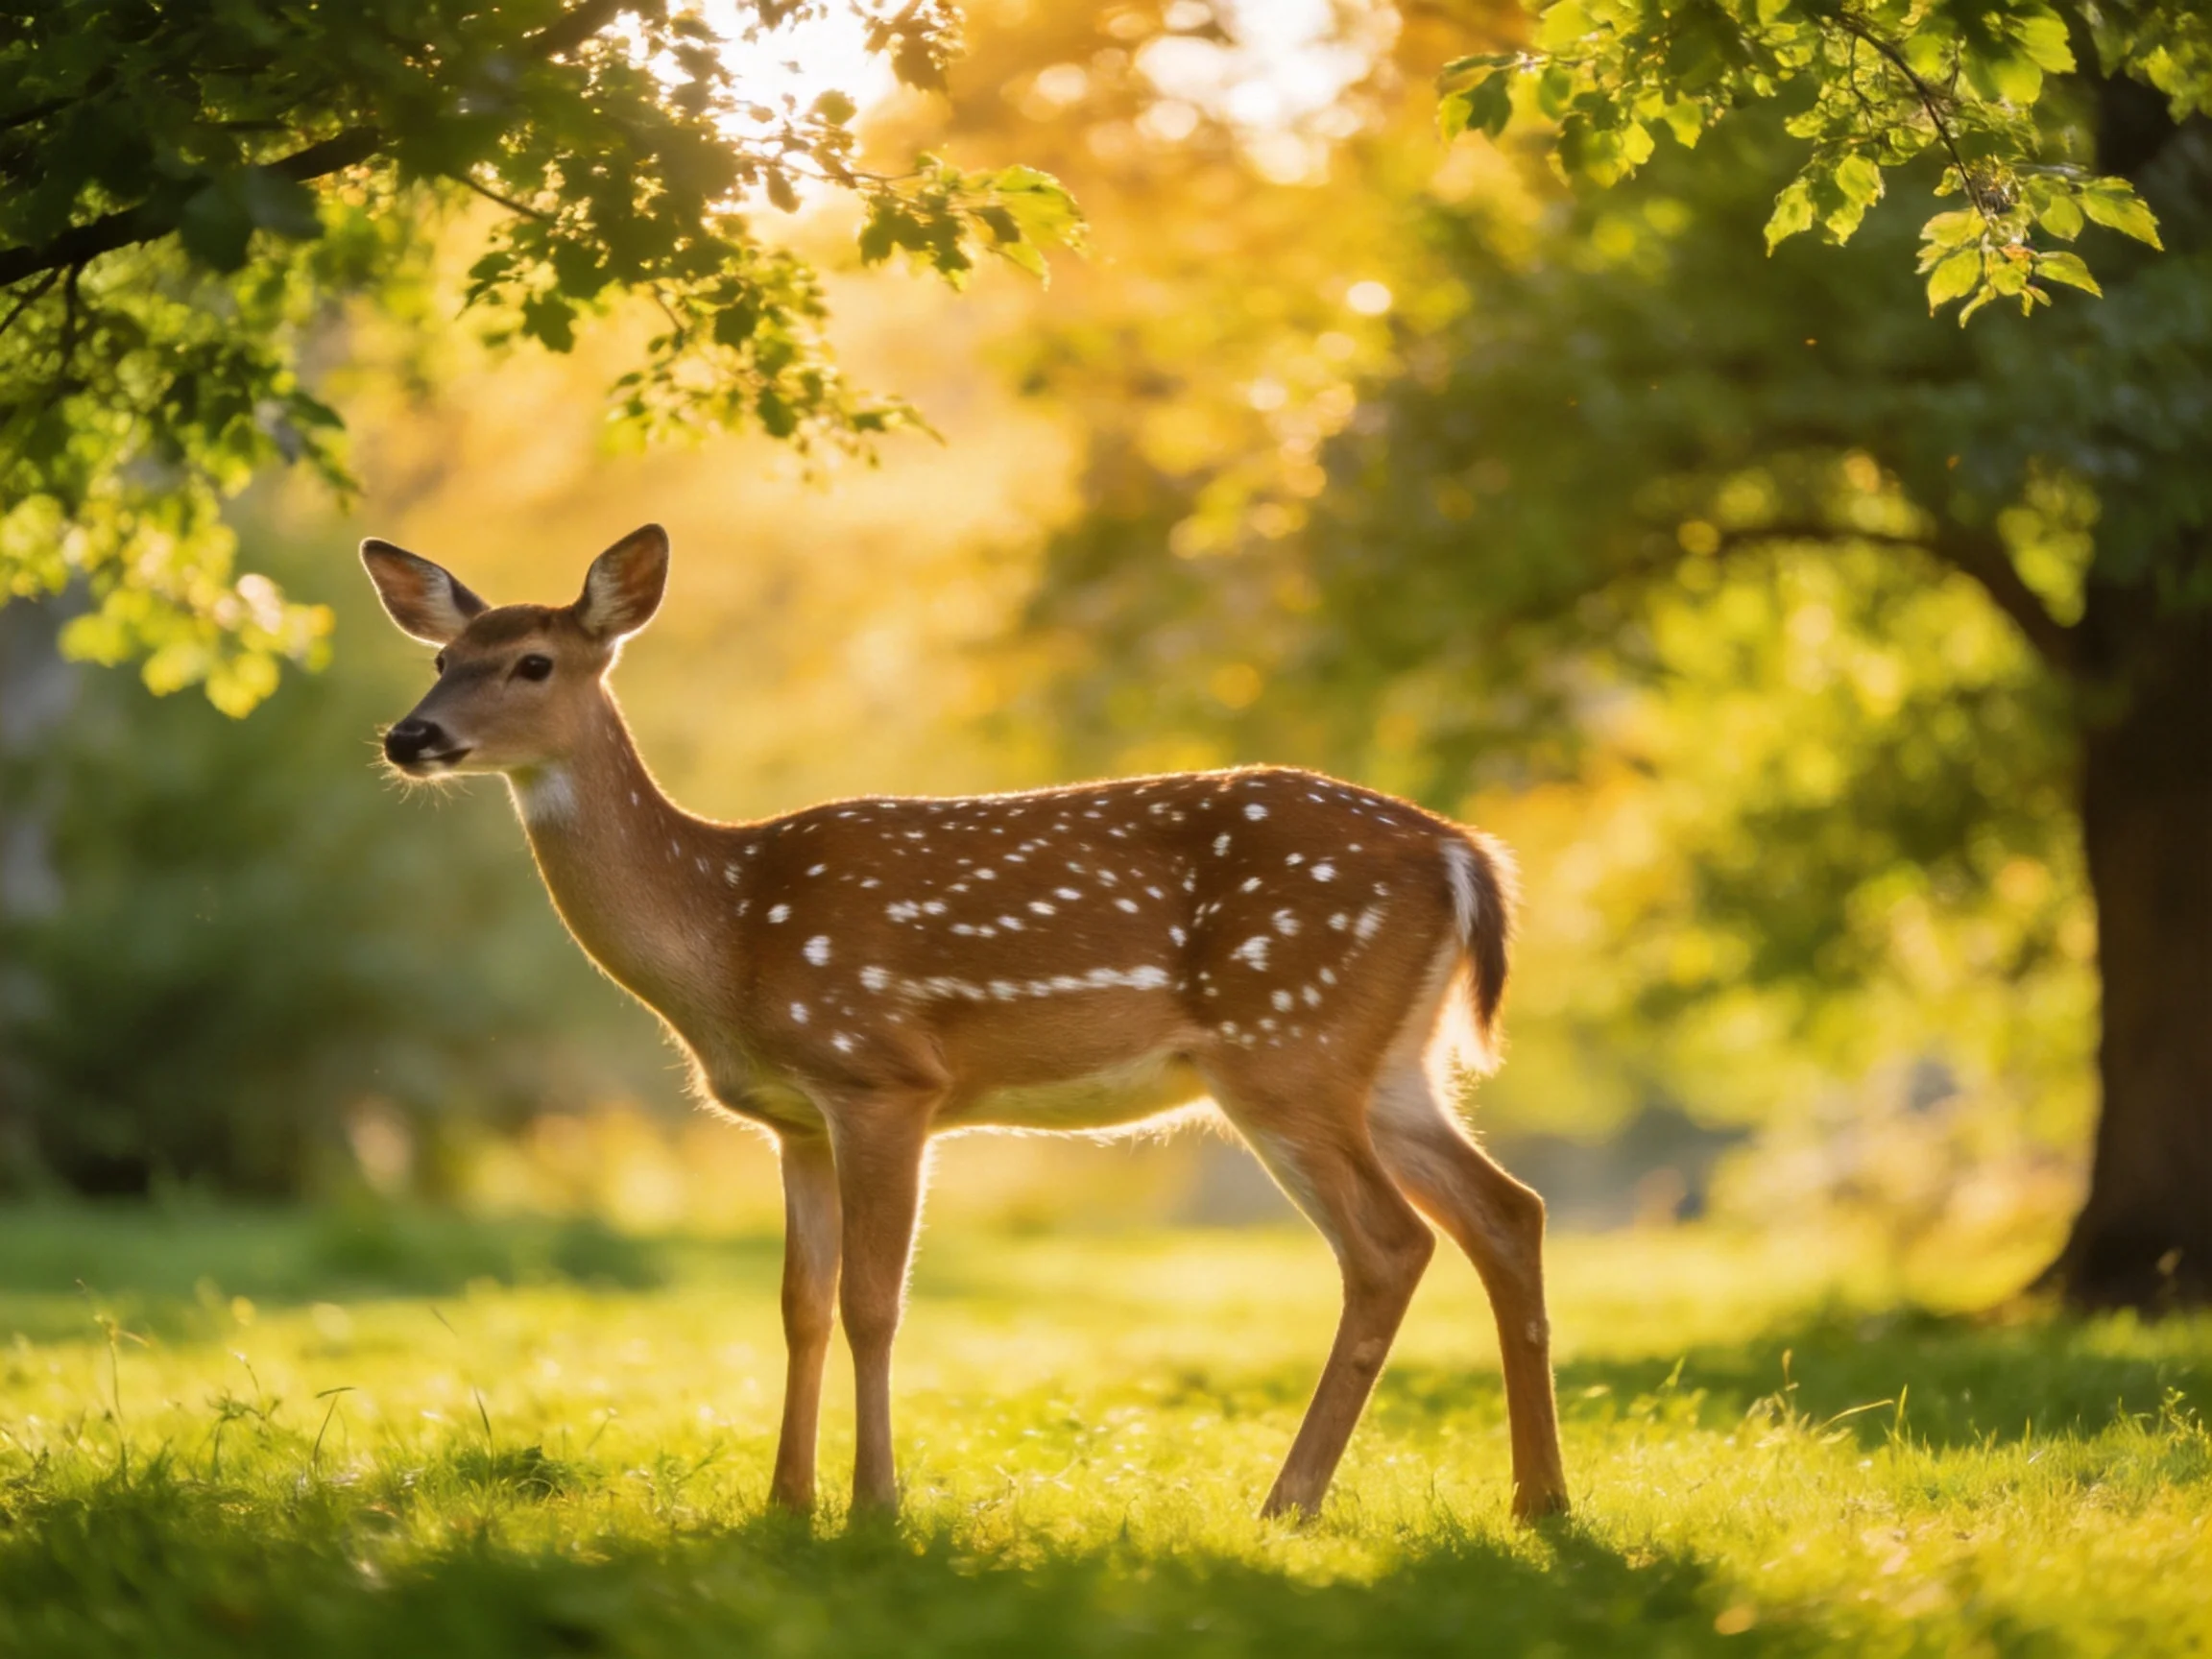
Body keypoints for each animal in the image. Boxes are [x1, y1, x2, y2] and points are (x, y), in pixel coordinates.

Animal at [362, 523, 1569, 1524]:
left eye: (533, 662)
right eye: (441, 661)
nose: (408, 736)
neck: (729, 929)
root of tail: (1462, 852)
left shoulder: (881, 1076)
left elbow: (872, 1303)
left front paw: (873, 1506)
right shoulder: (793, 1120)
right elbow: (798, 1303)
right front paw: (785, 1504)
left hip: (1287, 1045)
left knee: (1391, 1244)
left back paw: (1291, 1502)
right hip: (1390, 1065)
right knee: (1507, 1211)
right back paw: (1538, 1502)